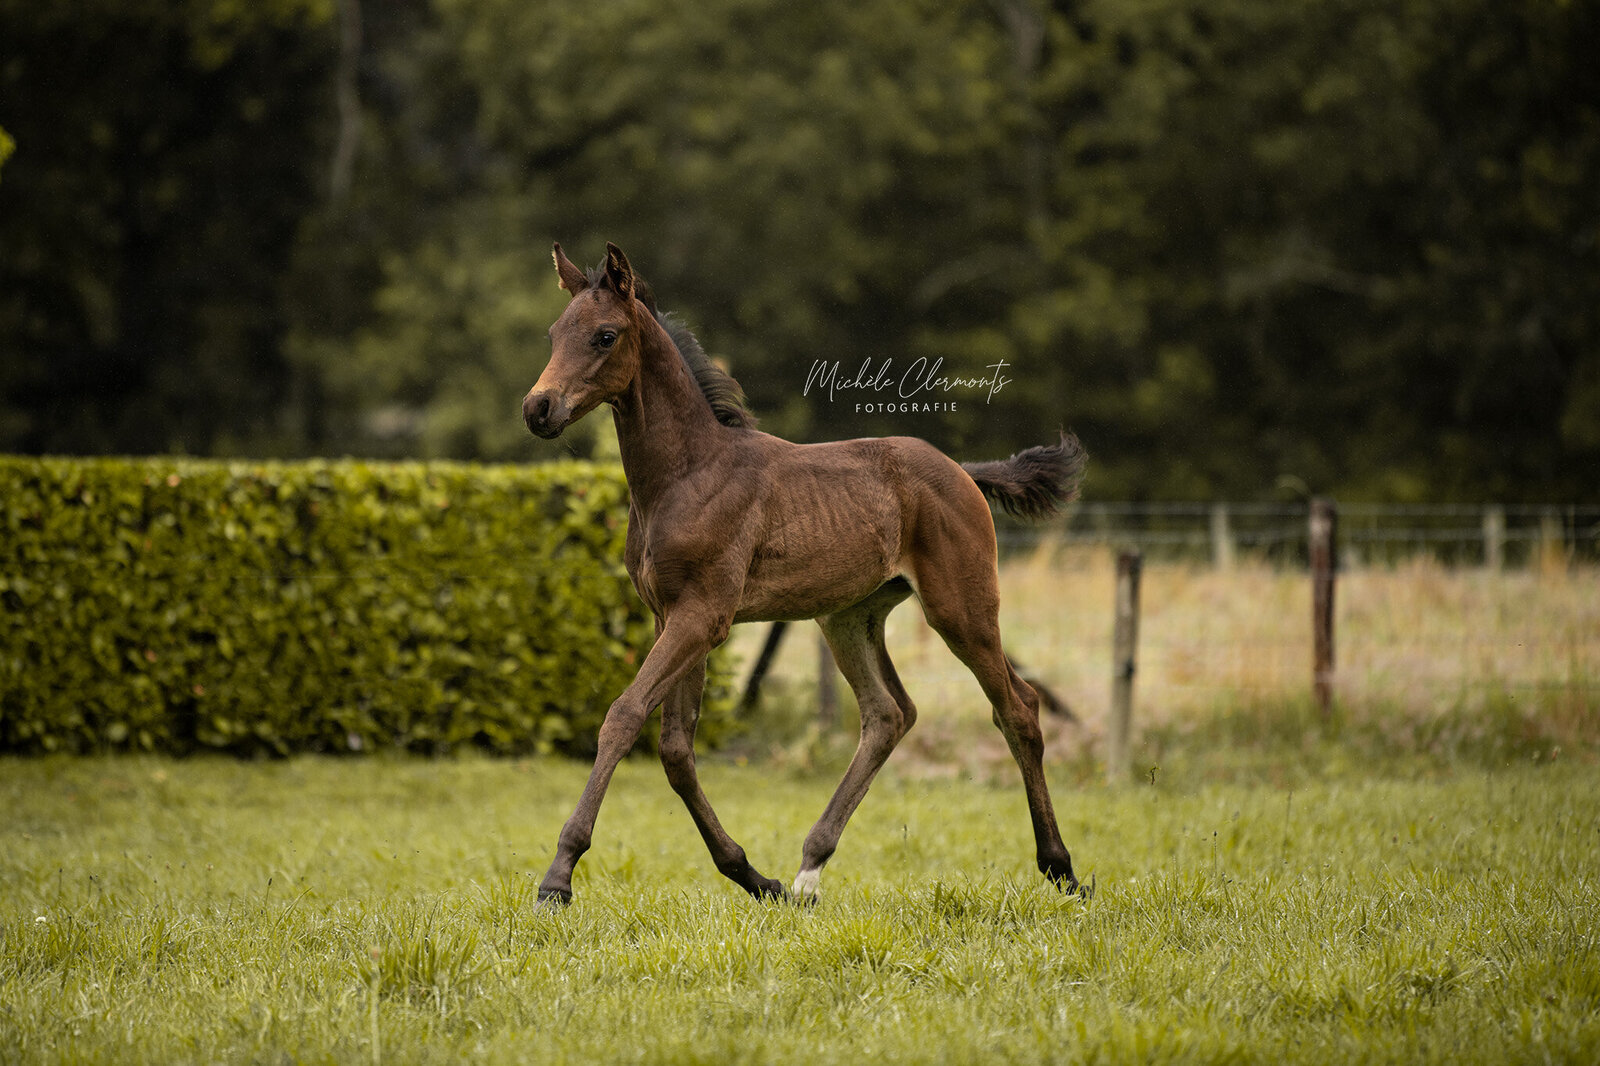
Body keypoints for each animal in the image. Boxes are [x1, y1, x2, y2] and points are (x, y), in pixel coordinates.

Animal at [524, 243, 1088, 902]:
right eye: (554, 334)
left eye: (605, 335)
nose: (538, 408)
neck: (686, 473)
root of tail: (965, 473)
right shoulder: (675, 615)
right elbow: (676, 749)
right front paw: (751, 875)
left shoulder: (703, 615)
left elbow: (624, 715)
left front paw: (558, 876)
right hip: (848, 617)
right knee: (889, 714)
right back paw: (807, 870)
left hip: (962, 609)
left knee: (1018, 709)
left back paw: (1060, 867)